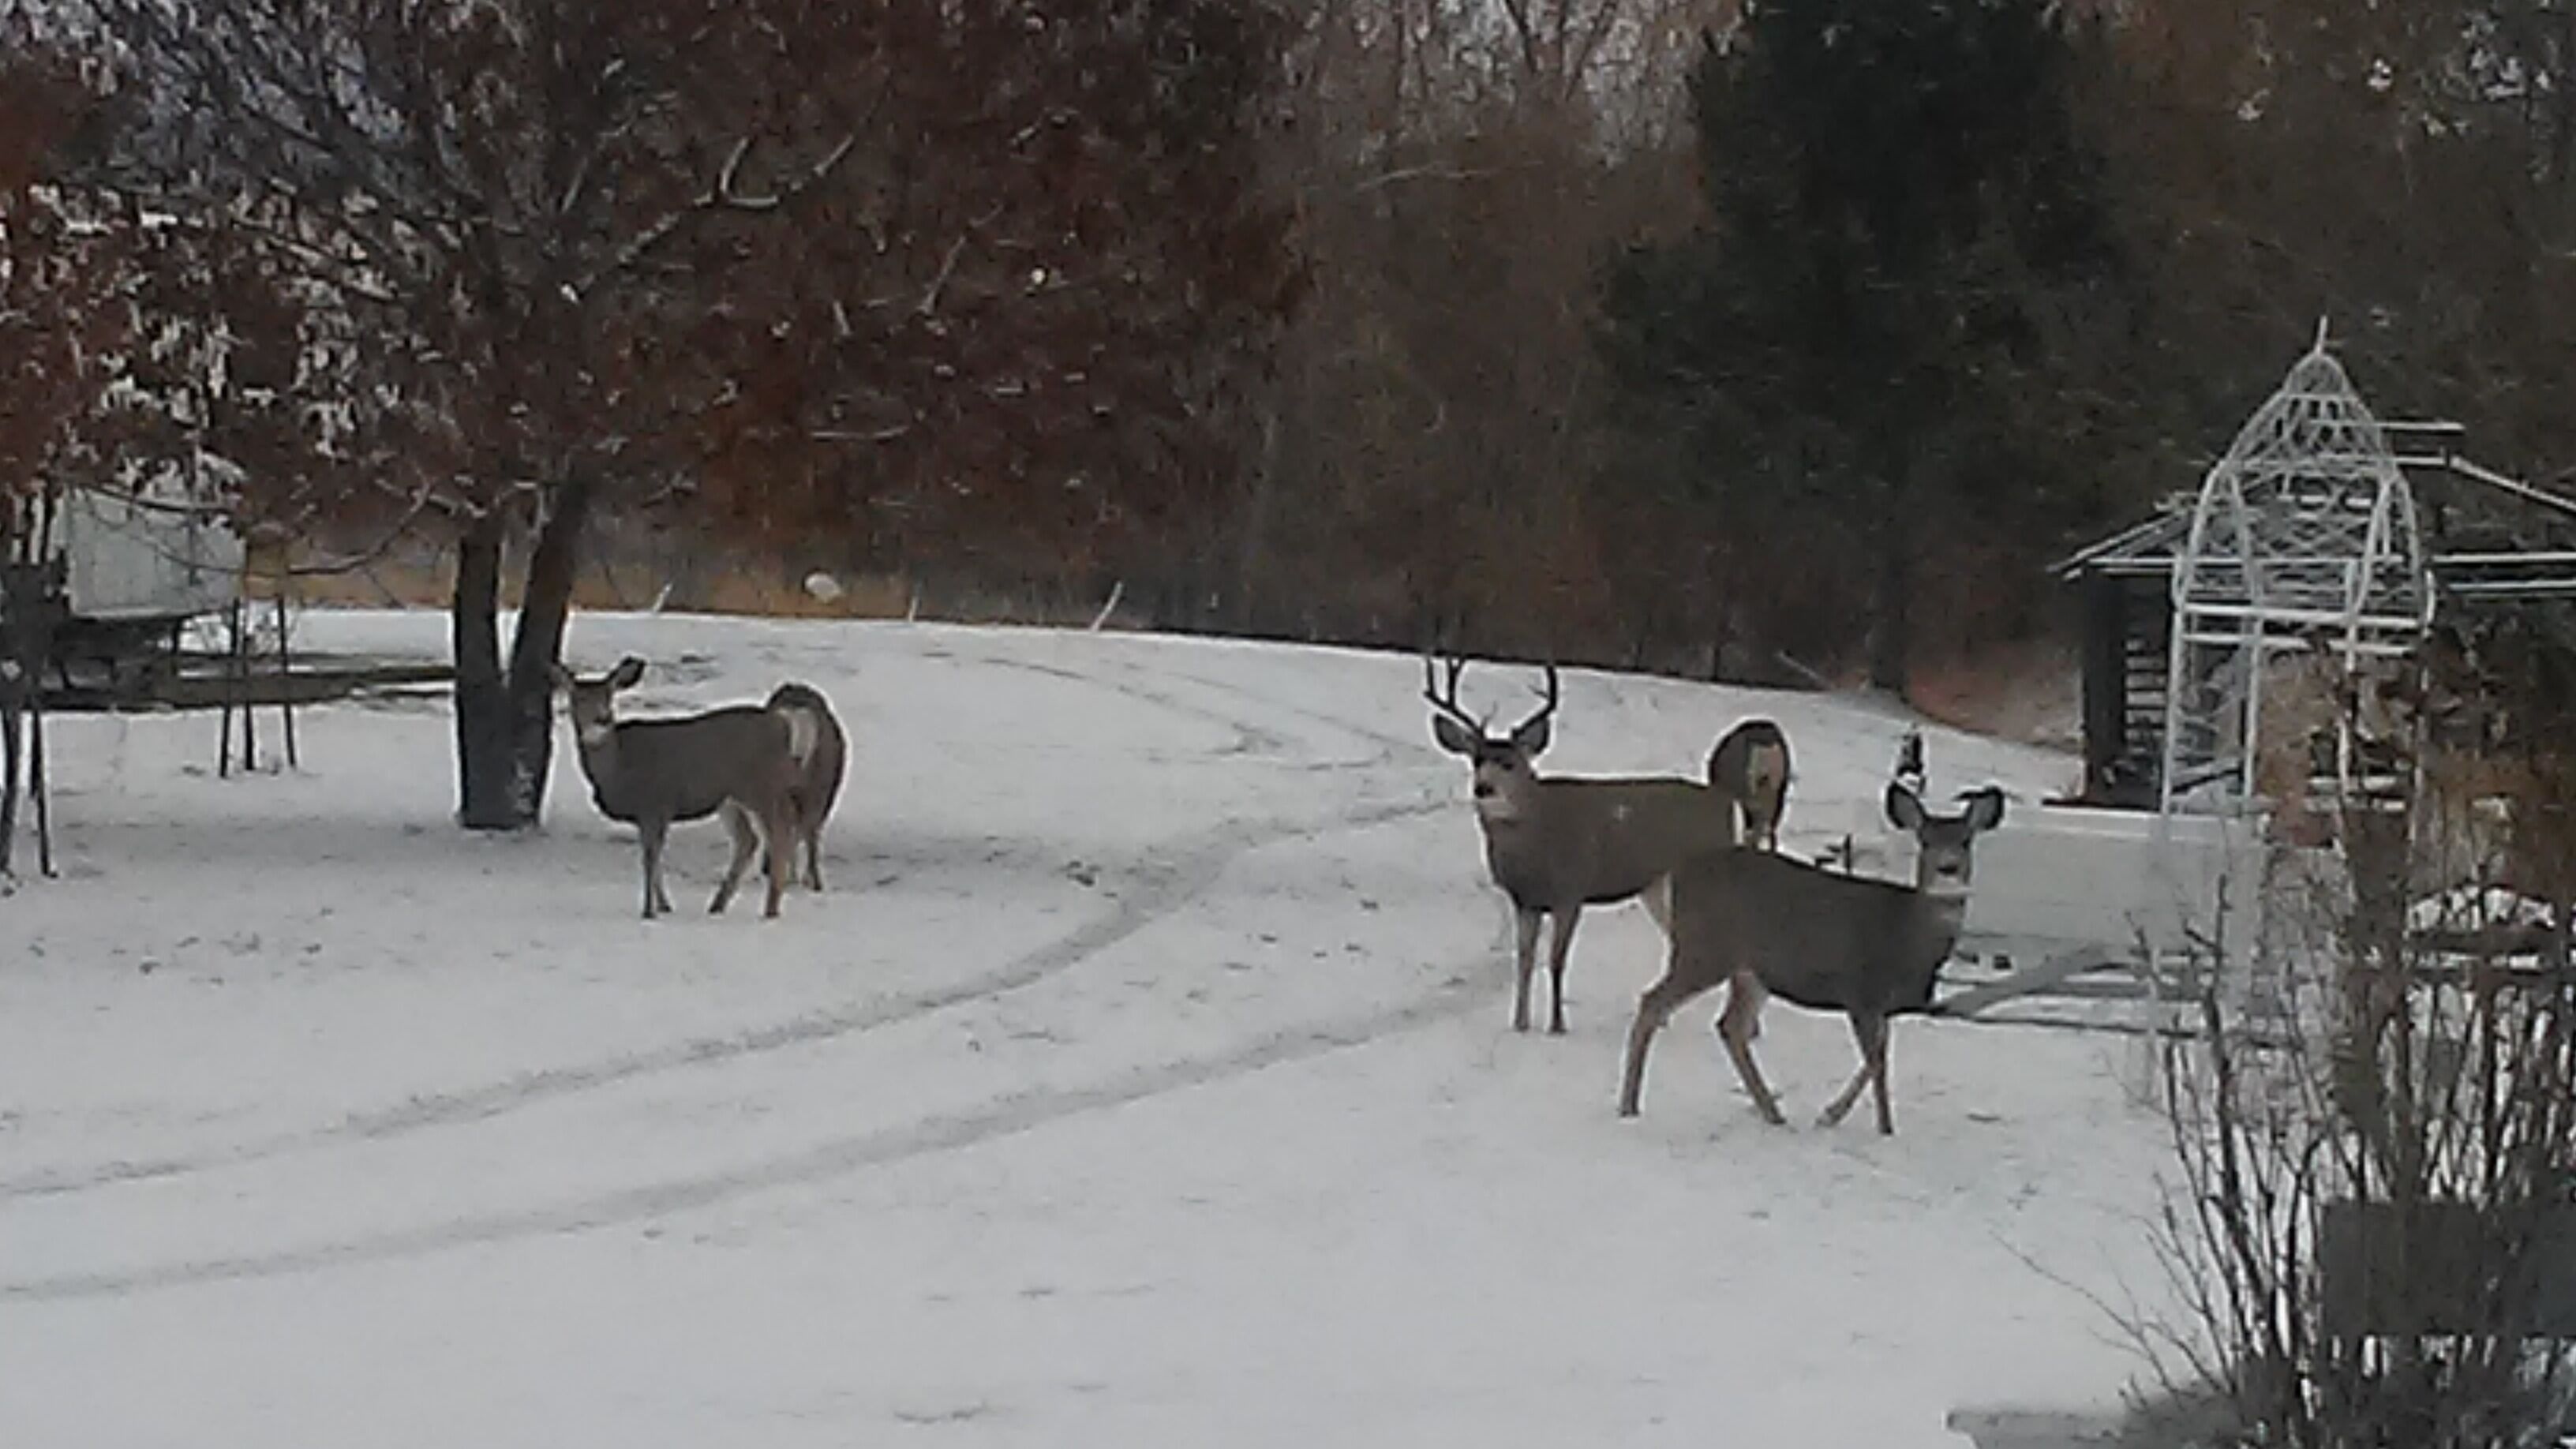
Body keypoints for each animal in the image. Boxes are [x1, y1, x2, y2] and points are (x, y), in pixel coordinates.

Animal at [553, 656, 809, 920]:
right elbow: (653, 859)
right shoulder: (647, 813)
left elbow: (650, 858)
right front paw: (664, 906)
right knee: (749, 840)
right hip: (730, 798)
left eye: (609, 696)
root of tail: (783, 723)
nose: (601, 720)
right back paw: (718, 905)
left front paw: (649, 911)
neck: (620, 765)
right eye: (576, 699)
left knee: (779, 835)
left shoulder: (656, 804)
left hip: (763, 785)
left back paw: (770, 910)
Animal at [1425, 654, 1753, 1035]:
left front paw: (1557, 1024)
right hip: (1658, 886)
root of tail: (1726, 799)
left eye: (1509, 763)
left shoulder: (1571, 890)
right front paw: (1520, 1023)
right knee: (1676, 940)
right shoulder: (1525, 901)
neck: (1537, 844)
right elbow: (1524, 961)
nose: (1483, 788)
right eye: (1476, 759)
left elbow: (1556, 960)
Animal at [1617, 781, 2005, 1135]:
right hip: (1705, 949)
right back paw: (1628, 1105)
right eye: (1925, 840)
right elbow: (1877, 1061)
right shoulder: (1860, 991)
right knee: (1653, 1001)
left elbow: (1880, 1054)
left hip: (1750, 970)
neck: (1907, 935)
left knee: (1730, 1026)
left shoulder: (1885, 1005)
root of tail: (1677, 874)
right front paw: (1882, 1128)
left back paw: (1772, 1113)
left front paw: (1832, 1115)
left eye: (1966, 840)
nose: (1948, 868)